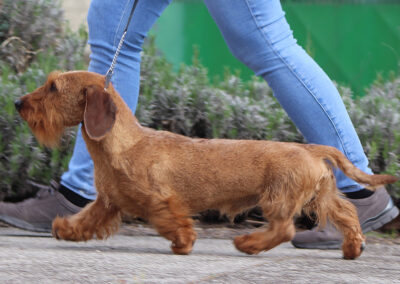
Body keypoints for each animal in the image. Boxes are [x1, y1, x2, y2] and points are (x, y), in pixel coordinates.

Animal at [14, 71, 396, 260]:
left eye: (53, 87)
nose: (18, 102)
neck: (126, 144)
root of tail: (313, 149)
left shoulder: (160, 200)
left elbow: (171, 221)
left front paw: (182, 244)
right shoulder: (108, 201)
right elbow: (87, 219)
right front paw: (64, 228)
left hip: (278, 199)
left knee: (284, 230)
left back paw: (248, 244)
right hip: (322, 196)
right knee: (347, 214)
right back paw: (352, 248)